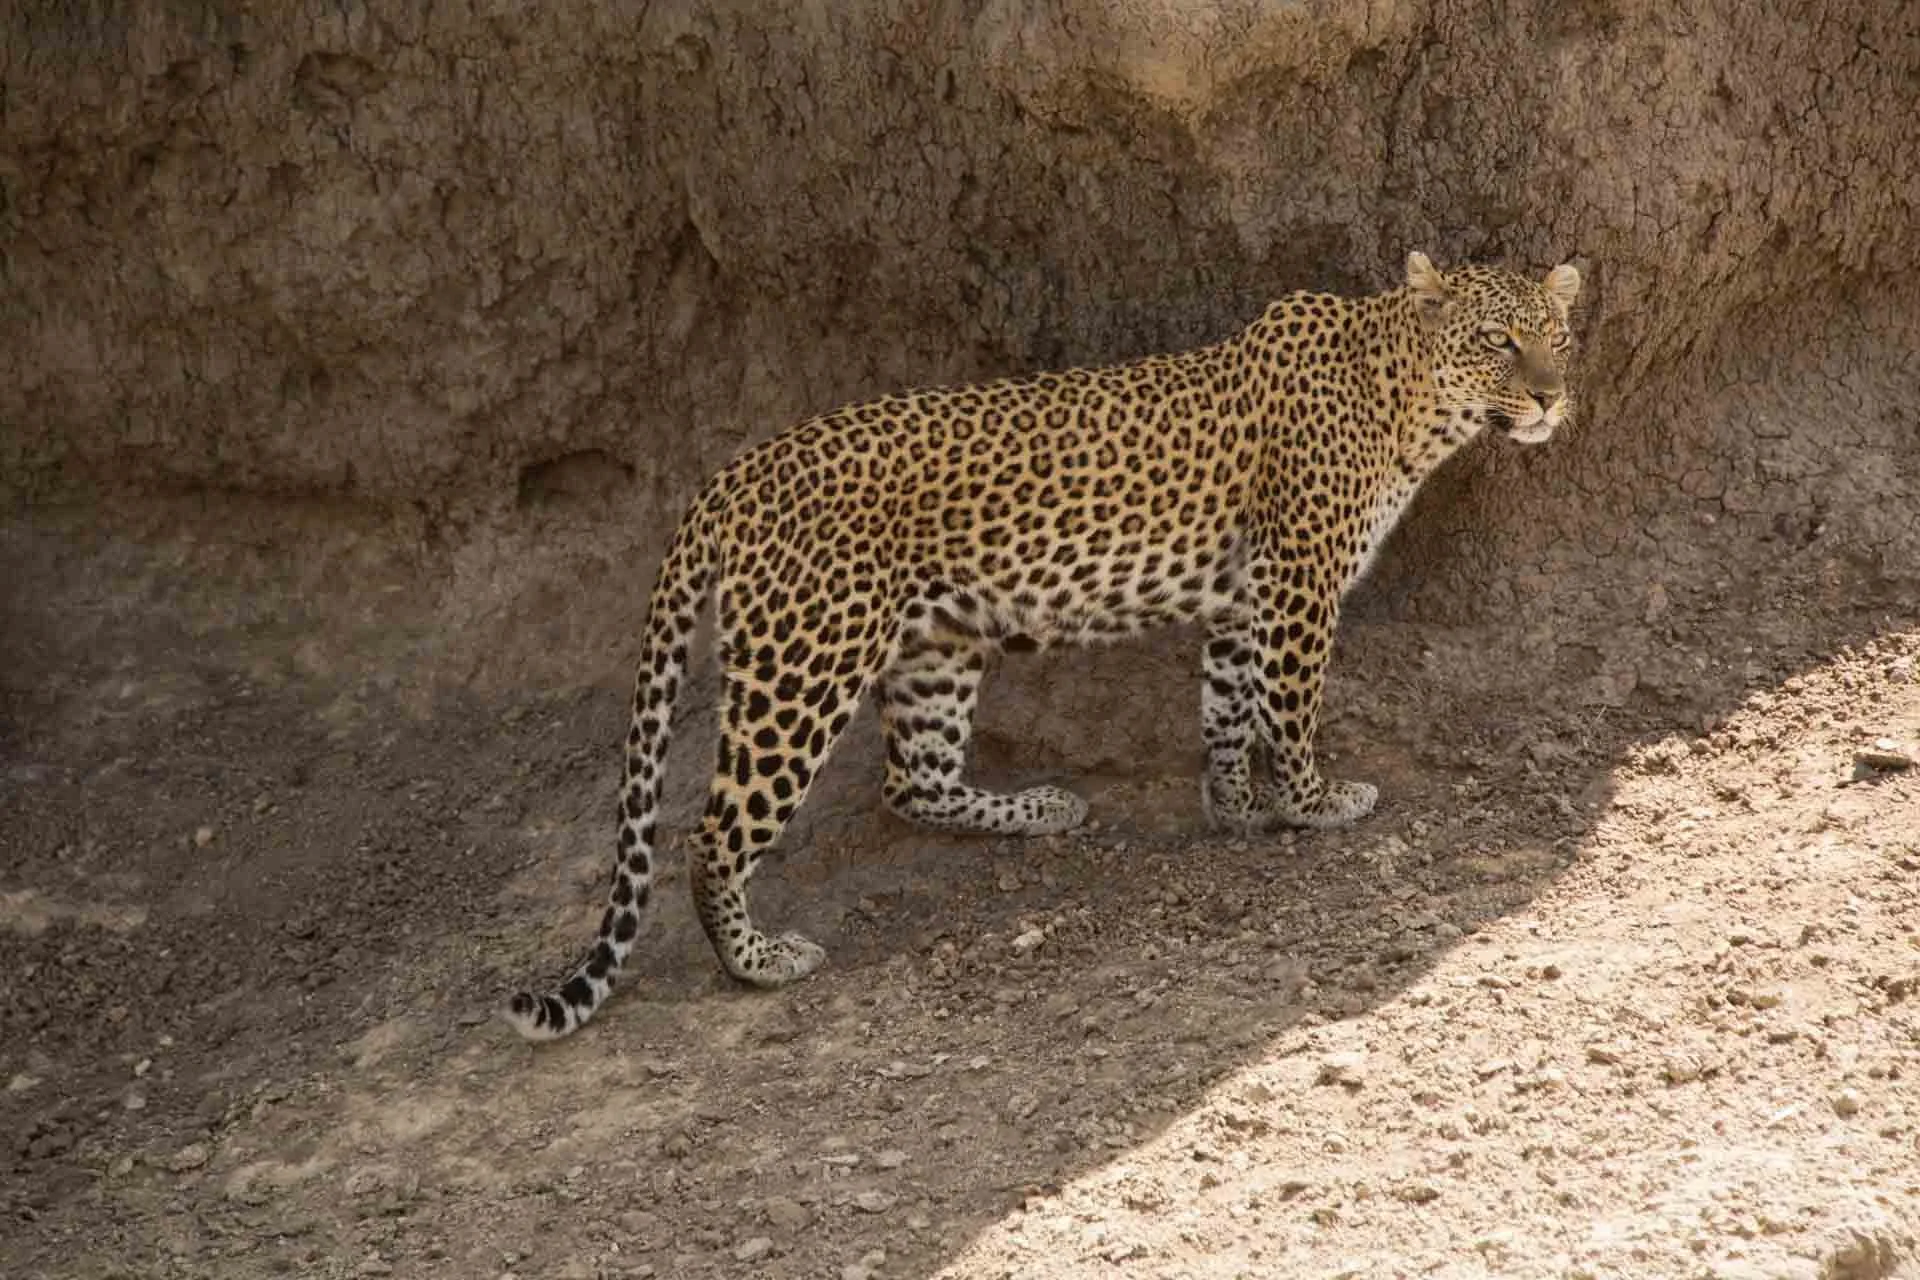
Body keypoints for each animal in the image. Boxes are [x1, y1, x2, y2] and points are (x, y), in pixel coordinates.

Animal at [504, 251, 1582, 1040]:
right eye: (1498, 340)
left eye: (1558, 336)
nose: (1549, 400)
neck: (1406, 397)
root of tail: (730, 478)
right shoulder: (1298, 582)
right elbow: (1291, 704)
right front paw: (1314, 803)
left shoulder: (1243, 597)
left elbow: (1228, 706)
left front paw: (1232, 807)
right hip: (803, 667)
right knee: (714, 830)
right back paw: (758, 961)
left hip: (934, 647)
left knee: (913, 780)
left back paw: (1041, 807)